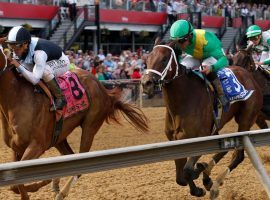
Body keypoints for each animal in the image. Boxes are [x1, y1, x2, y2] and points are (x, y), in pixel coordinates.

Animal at [0, 47, 149, 199]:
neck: (17, 97)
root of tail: (104, 90)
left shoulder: (37, 145)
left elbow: (18, 183)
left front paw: (44, 181)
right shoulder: (17, 147)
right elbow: (14, 185)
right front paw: (43, 182)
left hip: (90, 127)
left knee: (80, 164)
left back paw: (61, 192)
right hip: (59, 137)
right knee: (70, 158)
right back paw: (56, 183)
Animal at [142, 40, 262, 198]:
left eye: (164, 59)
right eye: (147, 59)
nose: (146, 84)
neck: (184, 101)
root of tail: (246, 72)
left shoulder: (201, 138)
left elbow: (187, 170)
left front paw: (199, 176)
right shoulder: (176, 142)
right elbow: (180, 178)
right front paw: (200, 181)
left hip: (246, 120)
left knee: (238, 155)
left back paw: (213, 183)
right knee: (225, 150)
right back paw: (208, 177)